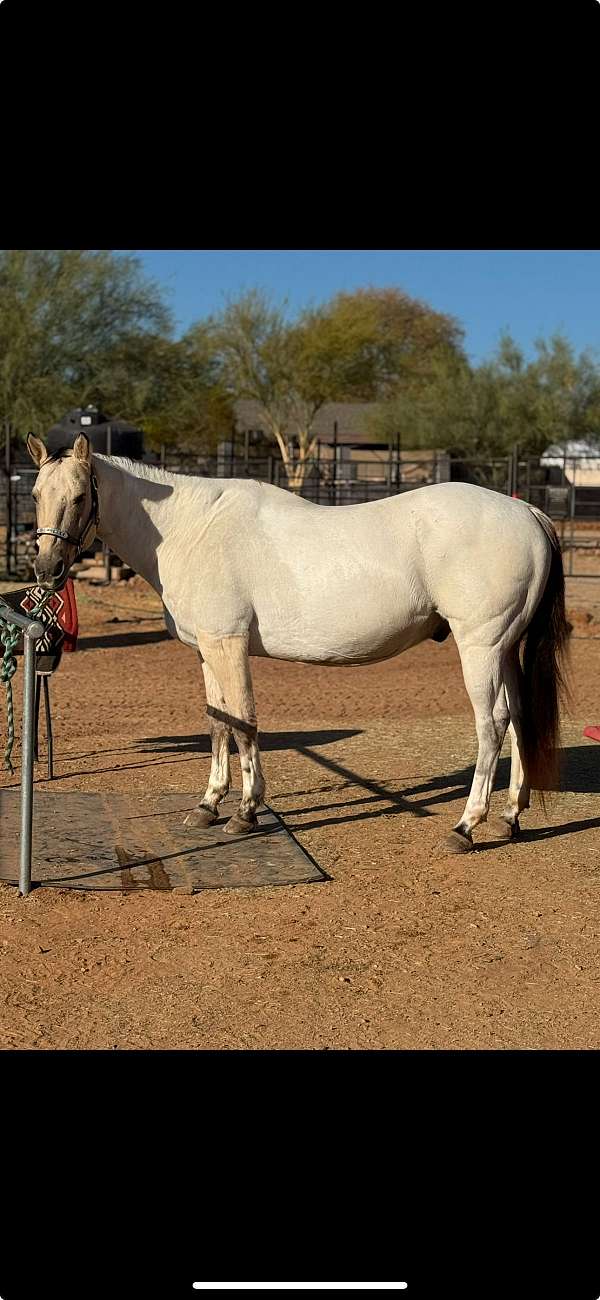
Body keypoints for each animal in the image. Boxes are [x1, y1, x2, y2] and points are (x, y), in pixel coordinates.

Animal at [26, 431, 571, 847]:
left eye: (79, 496)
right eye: (34, 494)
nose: (47, 569)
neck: (194, 529)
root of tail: (530, 514)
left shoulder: (228, 644)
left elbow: (243, 722)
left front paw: (246, 812)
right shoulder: (207, 650)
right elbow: (218, 722)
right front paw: (208, 805)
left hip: (481, 648)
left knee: (492, 724)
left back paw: (467, 825)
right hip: (506, 650)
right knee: (518, 718)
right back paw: (510, 817)